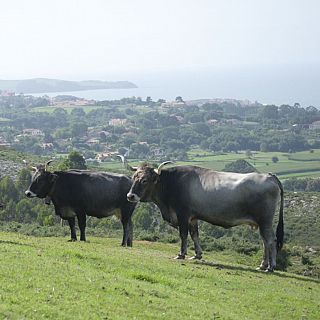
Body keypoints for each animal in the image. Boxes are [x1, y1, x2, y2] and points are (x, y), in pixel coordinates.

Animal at [121, 159, 284, 272]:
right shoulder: (193, 218)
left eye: (145, 180)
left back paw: (271, 267)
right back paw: (262, 265)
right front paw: (197, 255)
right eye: (134, 177)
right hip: (261, 223)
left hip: (265, 221)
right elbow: (195, 235)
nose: (130, 196)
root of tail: (269, 176)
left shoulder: (183, 214)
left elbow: (184, 235)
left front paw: (181, 254)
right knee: (264, 241)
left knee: (270, 240)